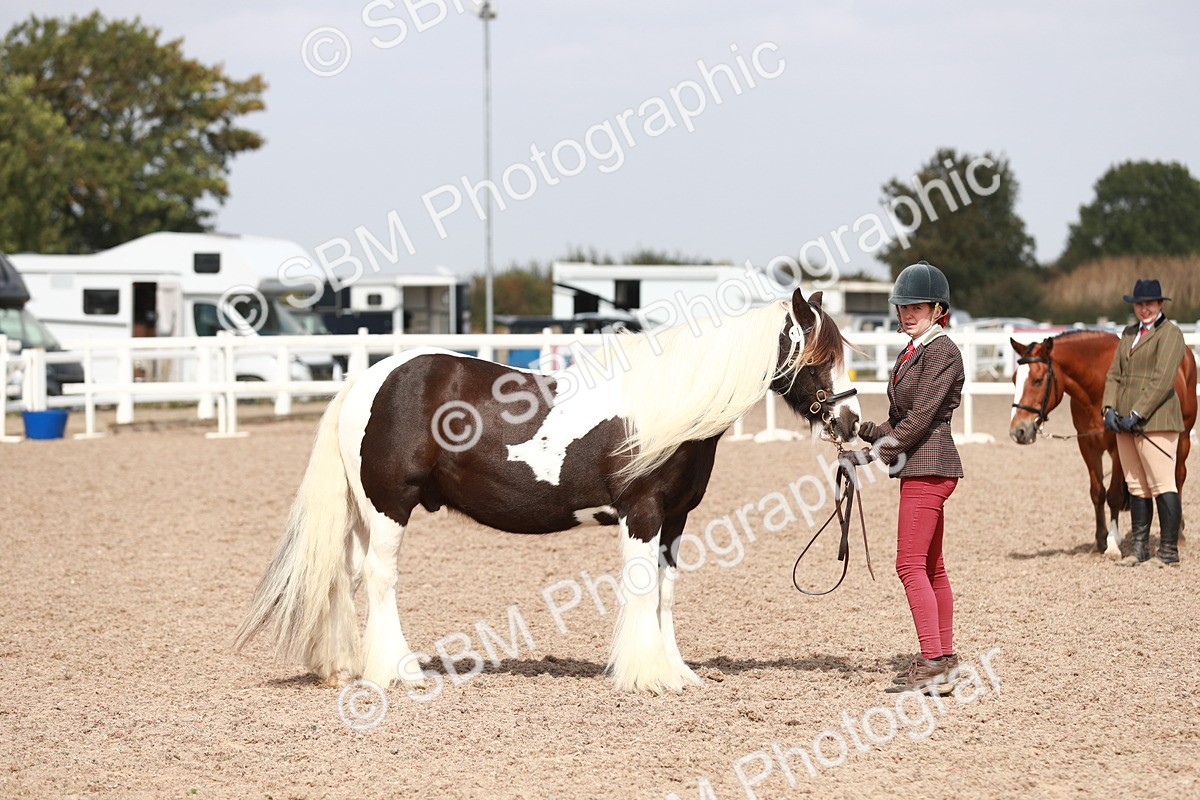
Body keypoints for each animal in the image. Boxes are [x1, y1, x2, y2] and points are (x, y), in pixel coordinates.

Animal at [234, 288, 861, 694]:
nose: (853, 422)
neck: (670, 407)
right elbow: (641, 590)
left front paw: (676, 671)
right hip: (389, 507)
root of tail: (367, 379)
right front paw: (645, 676)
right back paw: (399, 670)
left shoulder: (676, 521)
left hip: (365, 513)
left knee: (348, 574)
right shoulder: (642, 513)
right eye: (820, 358)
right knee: (379, 577)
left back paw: (350, 666)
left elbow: (664, 593)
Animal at [1009, 331, 1196, 557]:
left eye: (1037, 380)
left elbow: (1114, 495)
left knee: (1178, 476)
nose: (1018, 431)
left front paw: (1113, 545)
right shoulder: (1088, 446)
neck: (1098, 388)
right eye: (1013, 380)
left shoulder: (1118, 448)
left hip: (1183, 438)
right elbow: (1097, 492)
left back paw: (1178, 533)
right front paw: (1099, 542)